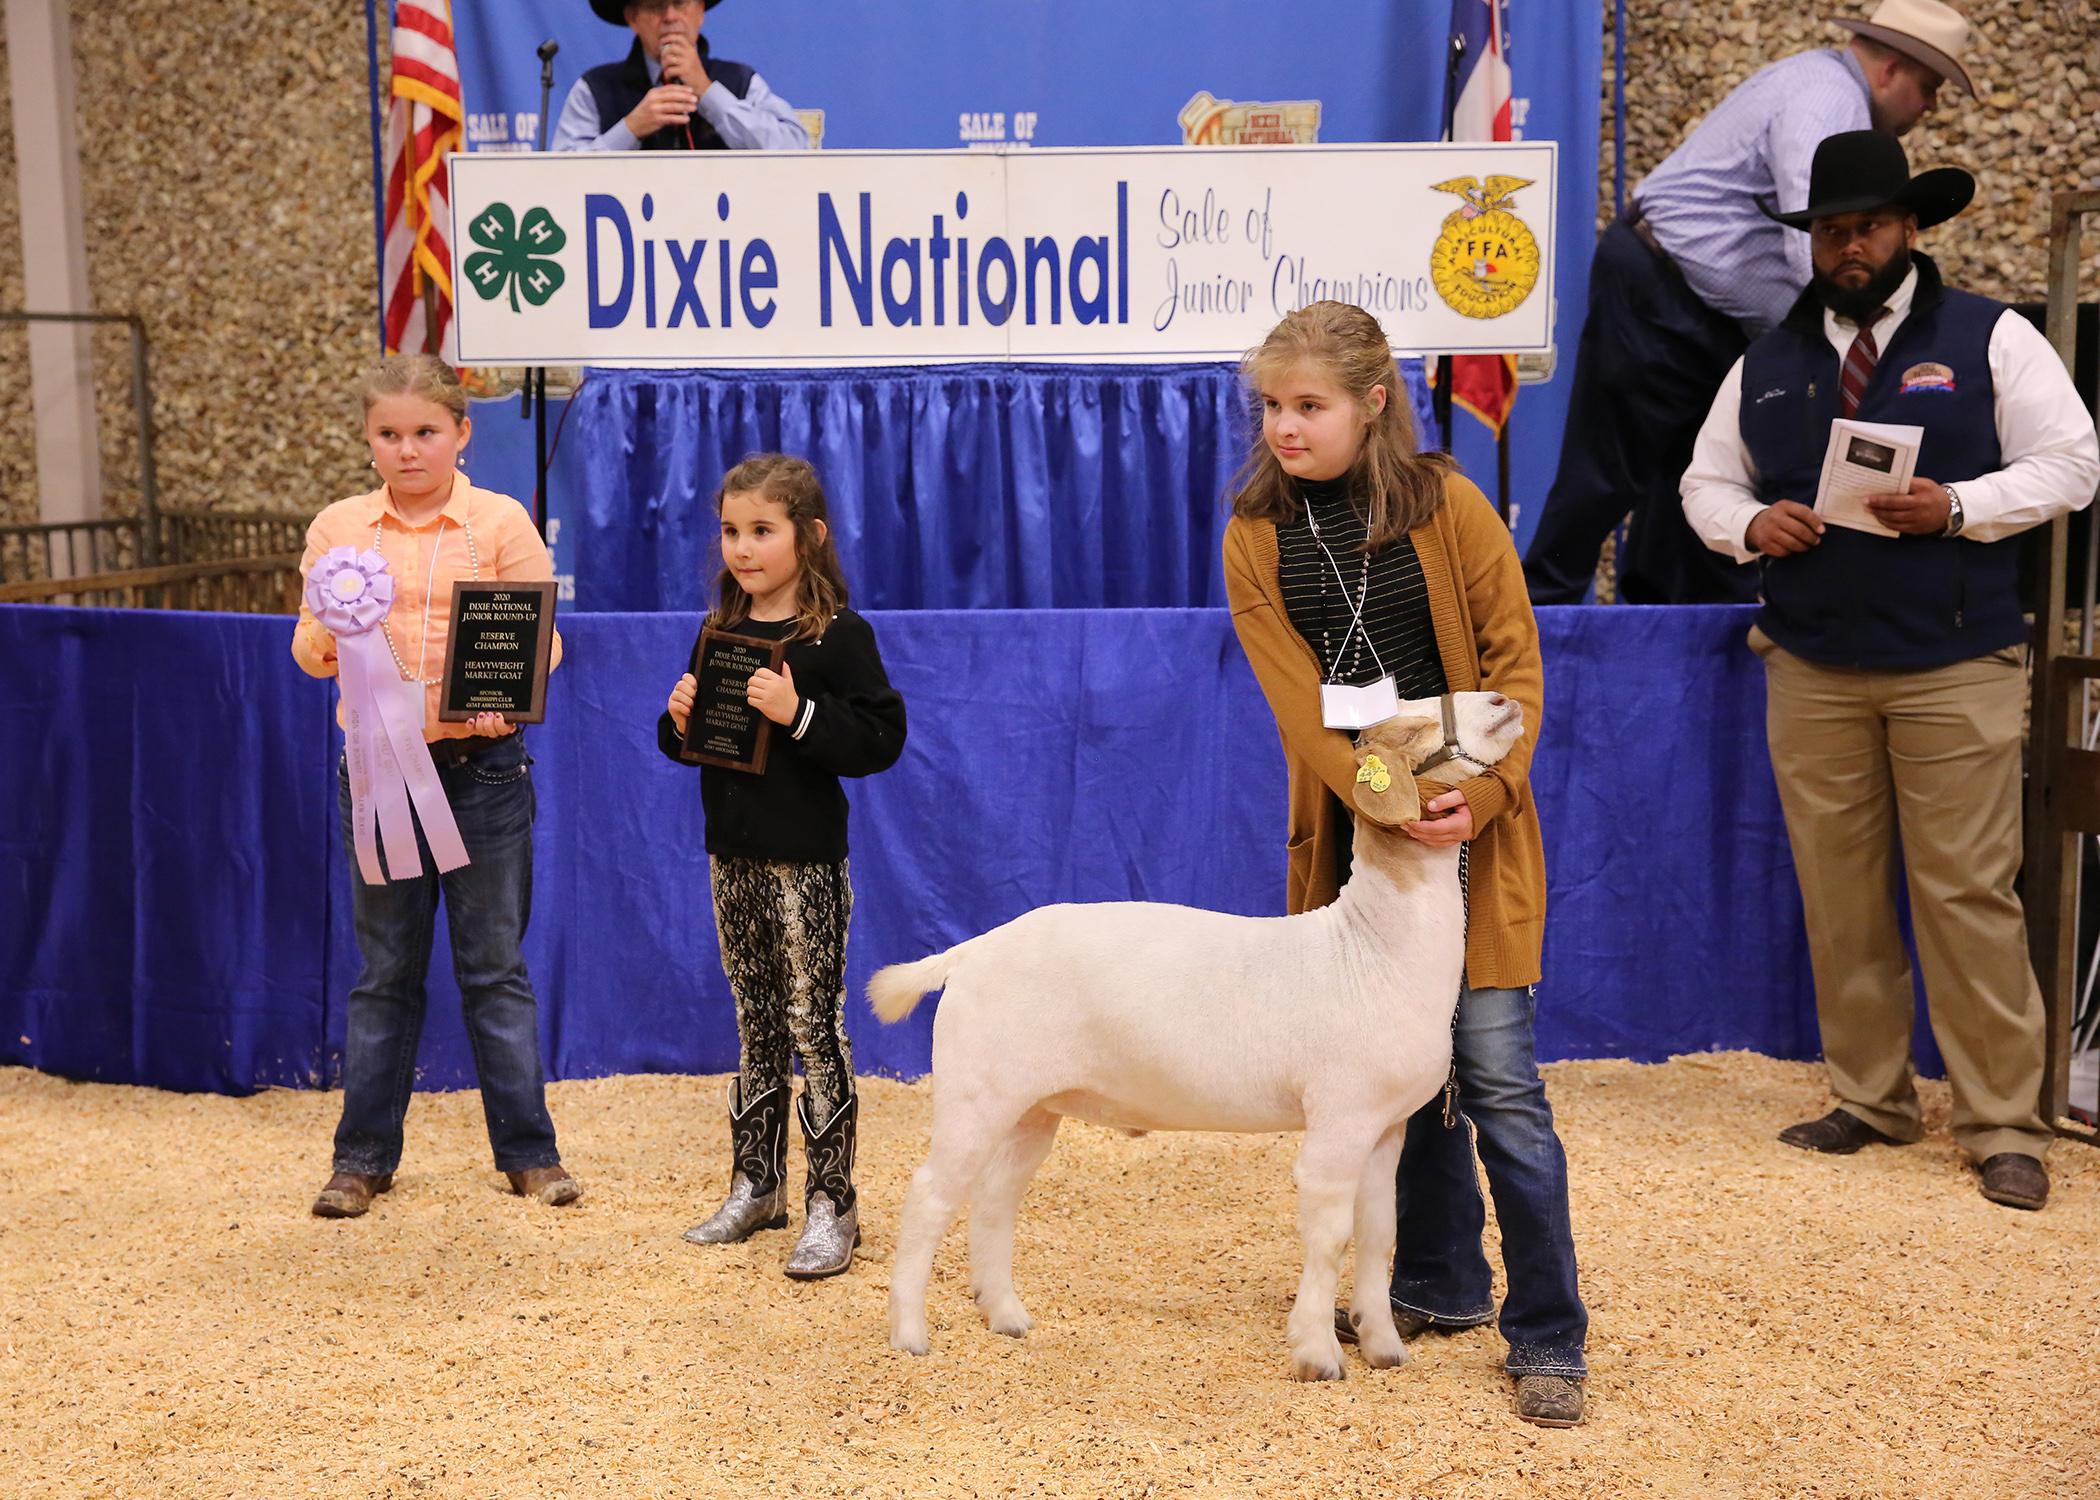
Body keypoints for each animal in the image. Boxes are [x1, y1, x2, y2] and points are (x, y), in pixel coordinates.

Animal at [869, 689, 1528, 1378]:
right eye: (1413, 723)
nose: (1502, 699)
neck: (1370, 949)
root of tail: (970, 951)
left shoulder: (1384, 1126)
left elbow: (1378, 1235)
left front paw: (1383, 1348)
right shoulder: (1337, 1121)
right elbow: (1330, 1239)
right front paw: (1317, 1354)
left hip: (1032, 1108)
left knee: (995, 1199)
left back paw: (1006, 1317)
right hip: (974, 1093)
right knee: (929, 1197)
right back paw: (909, 1334)